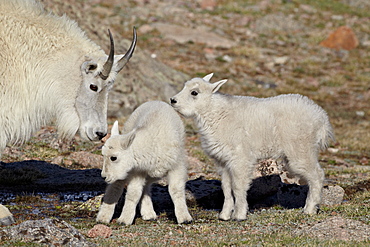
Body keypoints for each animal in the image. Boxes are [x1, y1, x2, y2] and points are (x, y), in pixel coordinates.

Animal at [171, 74, 336, 222]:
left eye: (194, 92)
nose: (173, 100)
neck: (215, 114)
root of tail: (322, 118)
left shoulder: (240, 158)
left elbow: (238, 187)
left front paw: (239, 215)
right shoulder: (223, 161)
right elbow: (226, 187)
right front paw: (224, 215)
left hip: (301, 148)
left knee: (317, 174)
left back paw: (309, 209)